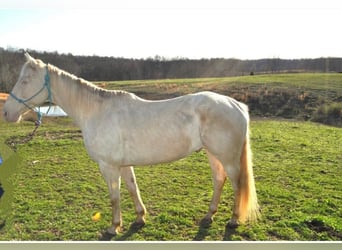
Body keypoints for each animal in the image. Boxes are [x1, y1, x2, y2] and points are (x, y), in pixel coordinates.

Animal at [2, 53, 260, 235]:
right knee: (219, 180)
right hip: (212, 154)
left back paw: (233, 220)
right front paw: (139, 218)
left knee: (237, 185)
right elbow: (133, 188)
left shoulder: (108, 166)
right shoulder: (123, 165)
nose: (6, 113)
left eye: (25, 80)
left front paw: (113, 226)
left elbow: (114, 197)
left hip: (227, 157)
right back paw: (209, 216)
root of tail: (237, 105)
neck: (96, 112)